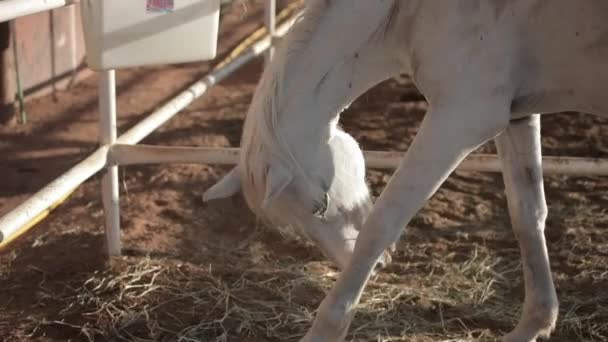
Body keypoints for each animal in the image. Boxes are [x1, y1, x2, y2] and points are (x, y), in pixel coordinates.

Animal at [204, 0, 608, 342]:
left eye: (320, 206)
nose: (380, 266)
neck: (410, 13)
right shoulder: (515, 114)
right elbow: (527, 215)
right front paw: (534, 324)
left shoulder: (462, 119)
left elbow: (380, 225)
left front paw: (325, 331)